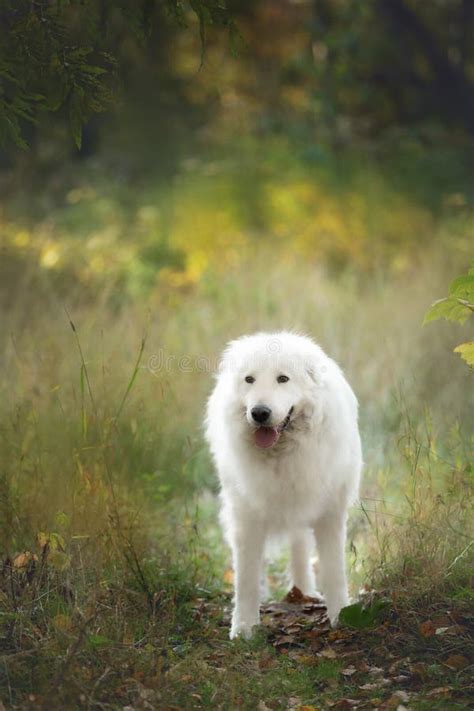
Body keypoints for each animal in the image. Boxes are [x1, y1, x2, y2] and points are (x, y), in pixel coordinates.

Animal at [205, 334, 362, 640]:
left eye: (283, 379)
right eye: (249, 379)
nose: (259, 413)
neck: (282, 455)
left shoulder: (330, 514)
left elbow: (334, 572)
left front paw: (340, 617)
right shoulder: (247, 517)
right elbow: (246, 578)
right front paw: (244, 628)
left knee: (300, 547)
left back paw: (305, 593)